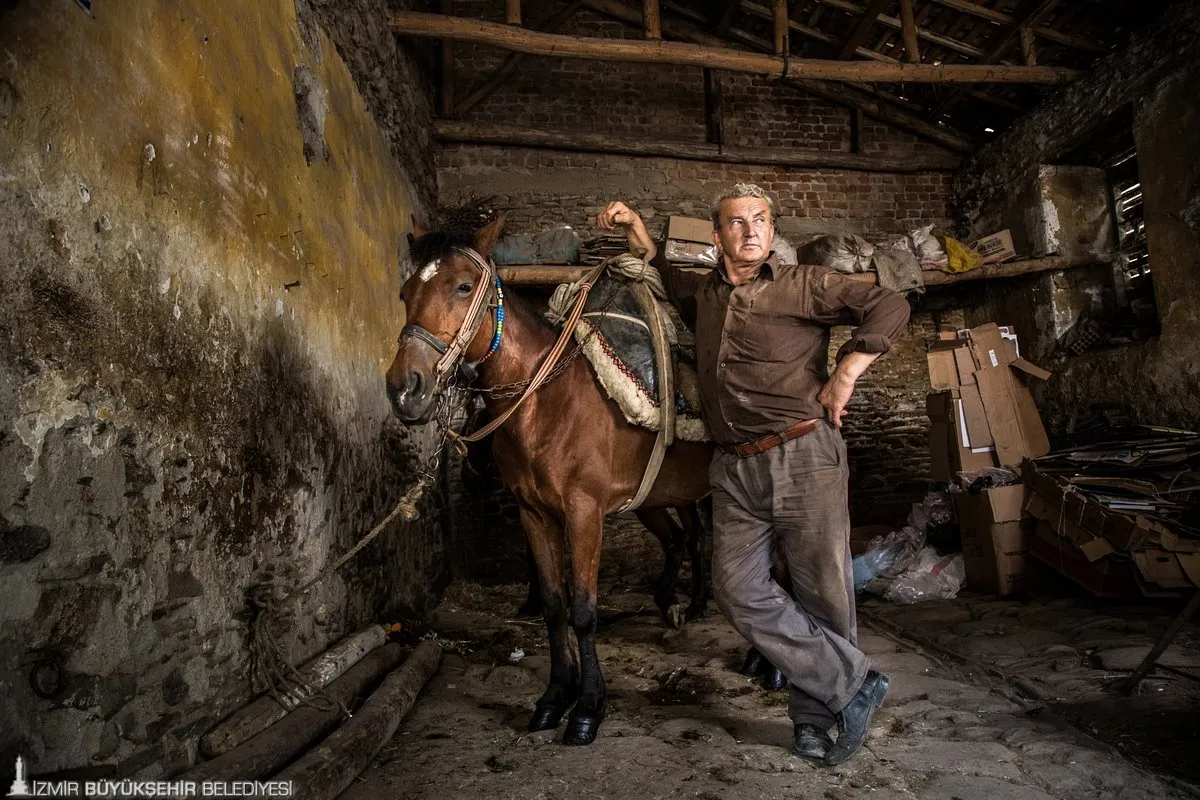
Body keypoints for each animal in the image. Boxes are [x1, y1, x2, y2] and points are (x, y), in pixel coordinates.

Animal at [388, 217, 710, 743]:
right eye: (404, 291)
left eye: (462, 286)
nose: (404, 389)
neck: (548, 402)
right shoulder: (535, 514)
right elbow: (555, 607)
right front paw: (555, 697)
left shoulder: (584, 513)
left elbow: (583, 610)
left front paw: (588, 707)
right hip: (657, 500)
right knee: (682, 540)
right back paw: (679, 602)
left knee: (708, 540)